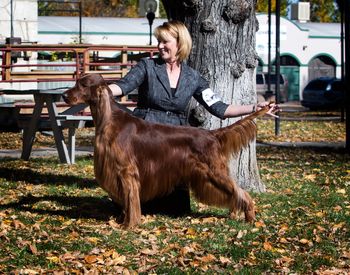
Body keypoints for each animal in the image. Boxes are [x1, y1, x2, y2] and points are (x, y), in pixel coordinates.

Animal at [64, 73, 270, 229]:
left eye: (83, 84)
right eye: (76, 82)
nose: (65, 96)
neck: (108, 119)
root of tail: (211, 134)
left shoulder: (126, 171)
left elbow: (131, 200)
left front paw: (129, 225)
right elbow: (126, 200)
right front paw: (123, 221)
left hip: (214, 172)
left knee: (241, 192)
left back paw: (250, 217)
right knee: (235, 192)